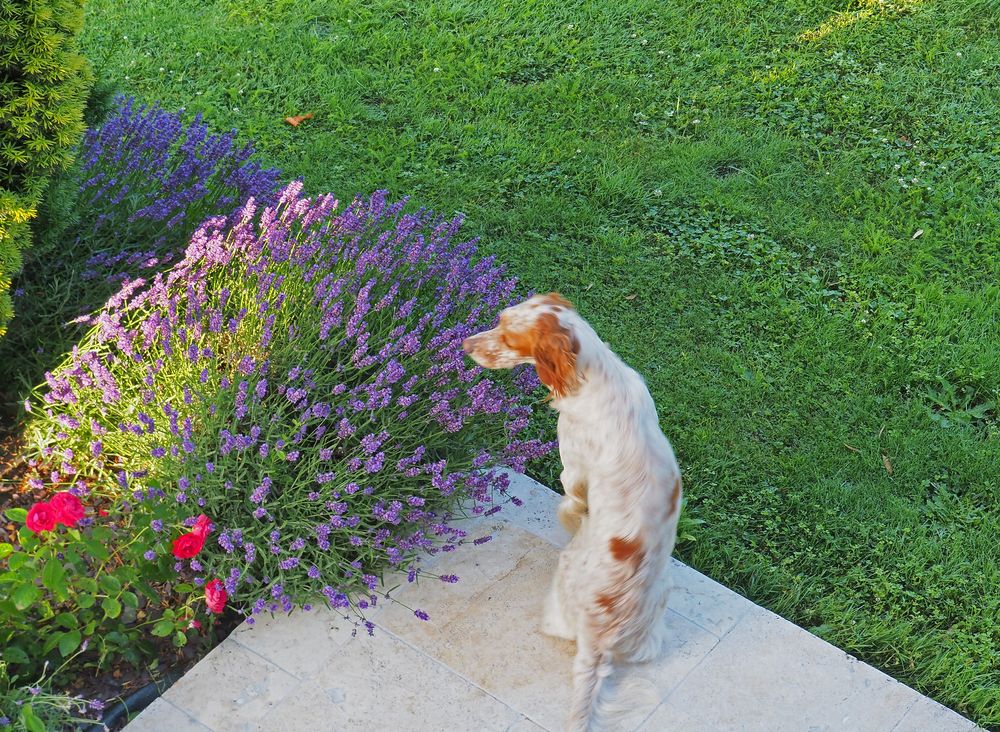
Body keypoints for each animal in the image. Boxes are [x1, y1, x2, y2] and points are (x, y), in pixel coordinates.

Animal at [460, 294, 680, 732]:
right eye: (500, 320)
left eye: (509, 337)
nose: (465, 344)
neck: (597, 374)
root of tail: (600, 638)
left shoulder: (572, 470)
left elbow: (571, 503)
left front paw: (573, 520)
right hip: (658, 606)